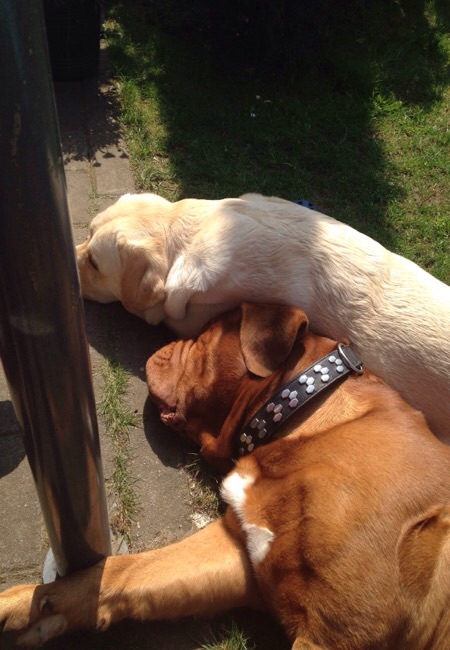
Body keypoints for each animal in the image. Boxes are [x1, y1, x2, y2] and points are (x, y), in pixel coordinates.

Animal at [1, 303, 450, 648]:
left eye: (203, 337)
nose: (160, 344)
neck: (303, 413)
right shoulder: (238, 551)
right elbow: (123, 571)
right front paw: (32, 603)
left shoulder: (339, 631)